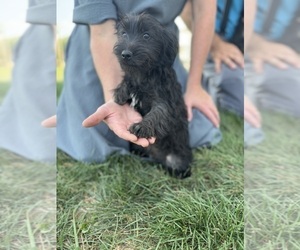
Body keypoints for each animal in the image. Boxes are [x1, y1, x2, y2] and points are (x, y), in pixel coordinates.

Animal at [112, 13, 192, 178]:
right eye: (124, 34)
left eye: (146, 36)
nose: (125, 54)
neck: (143, 74)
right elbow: (127, 81)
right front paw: (121, 92)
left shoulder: (165, 100)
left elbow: (158, 112)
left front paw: (141, 126)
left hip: (177, 158)